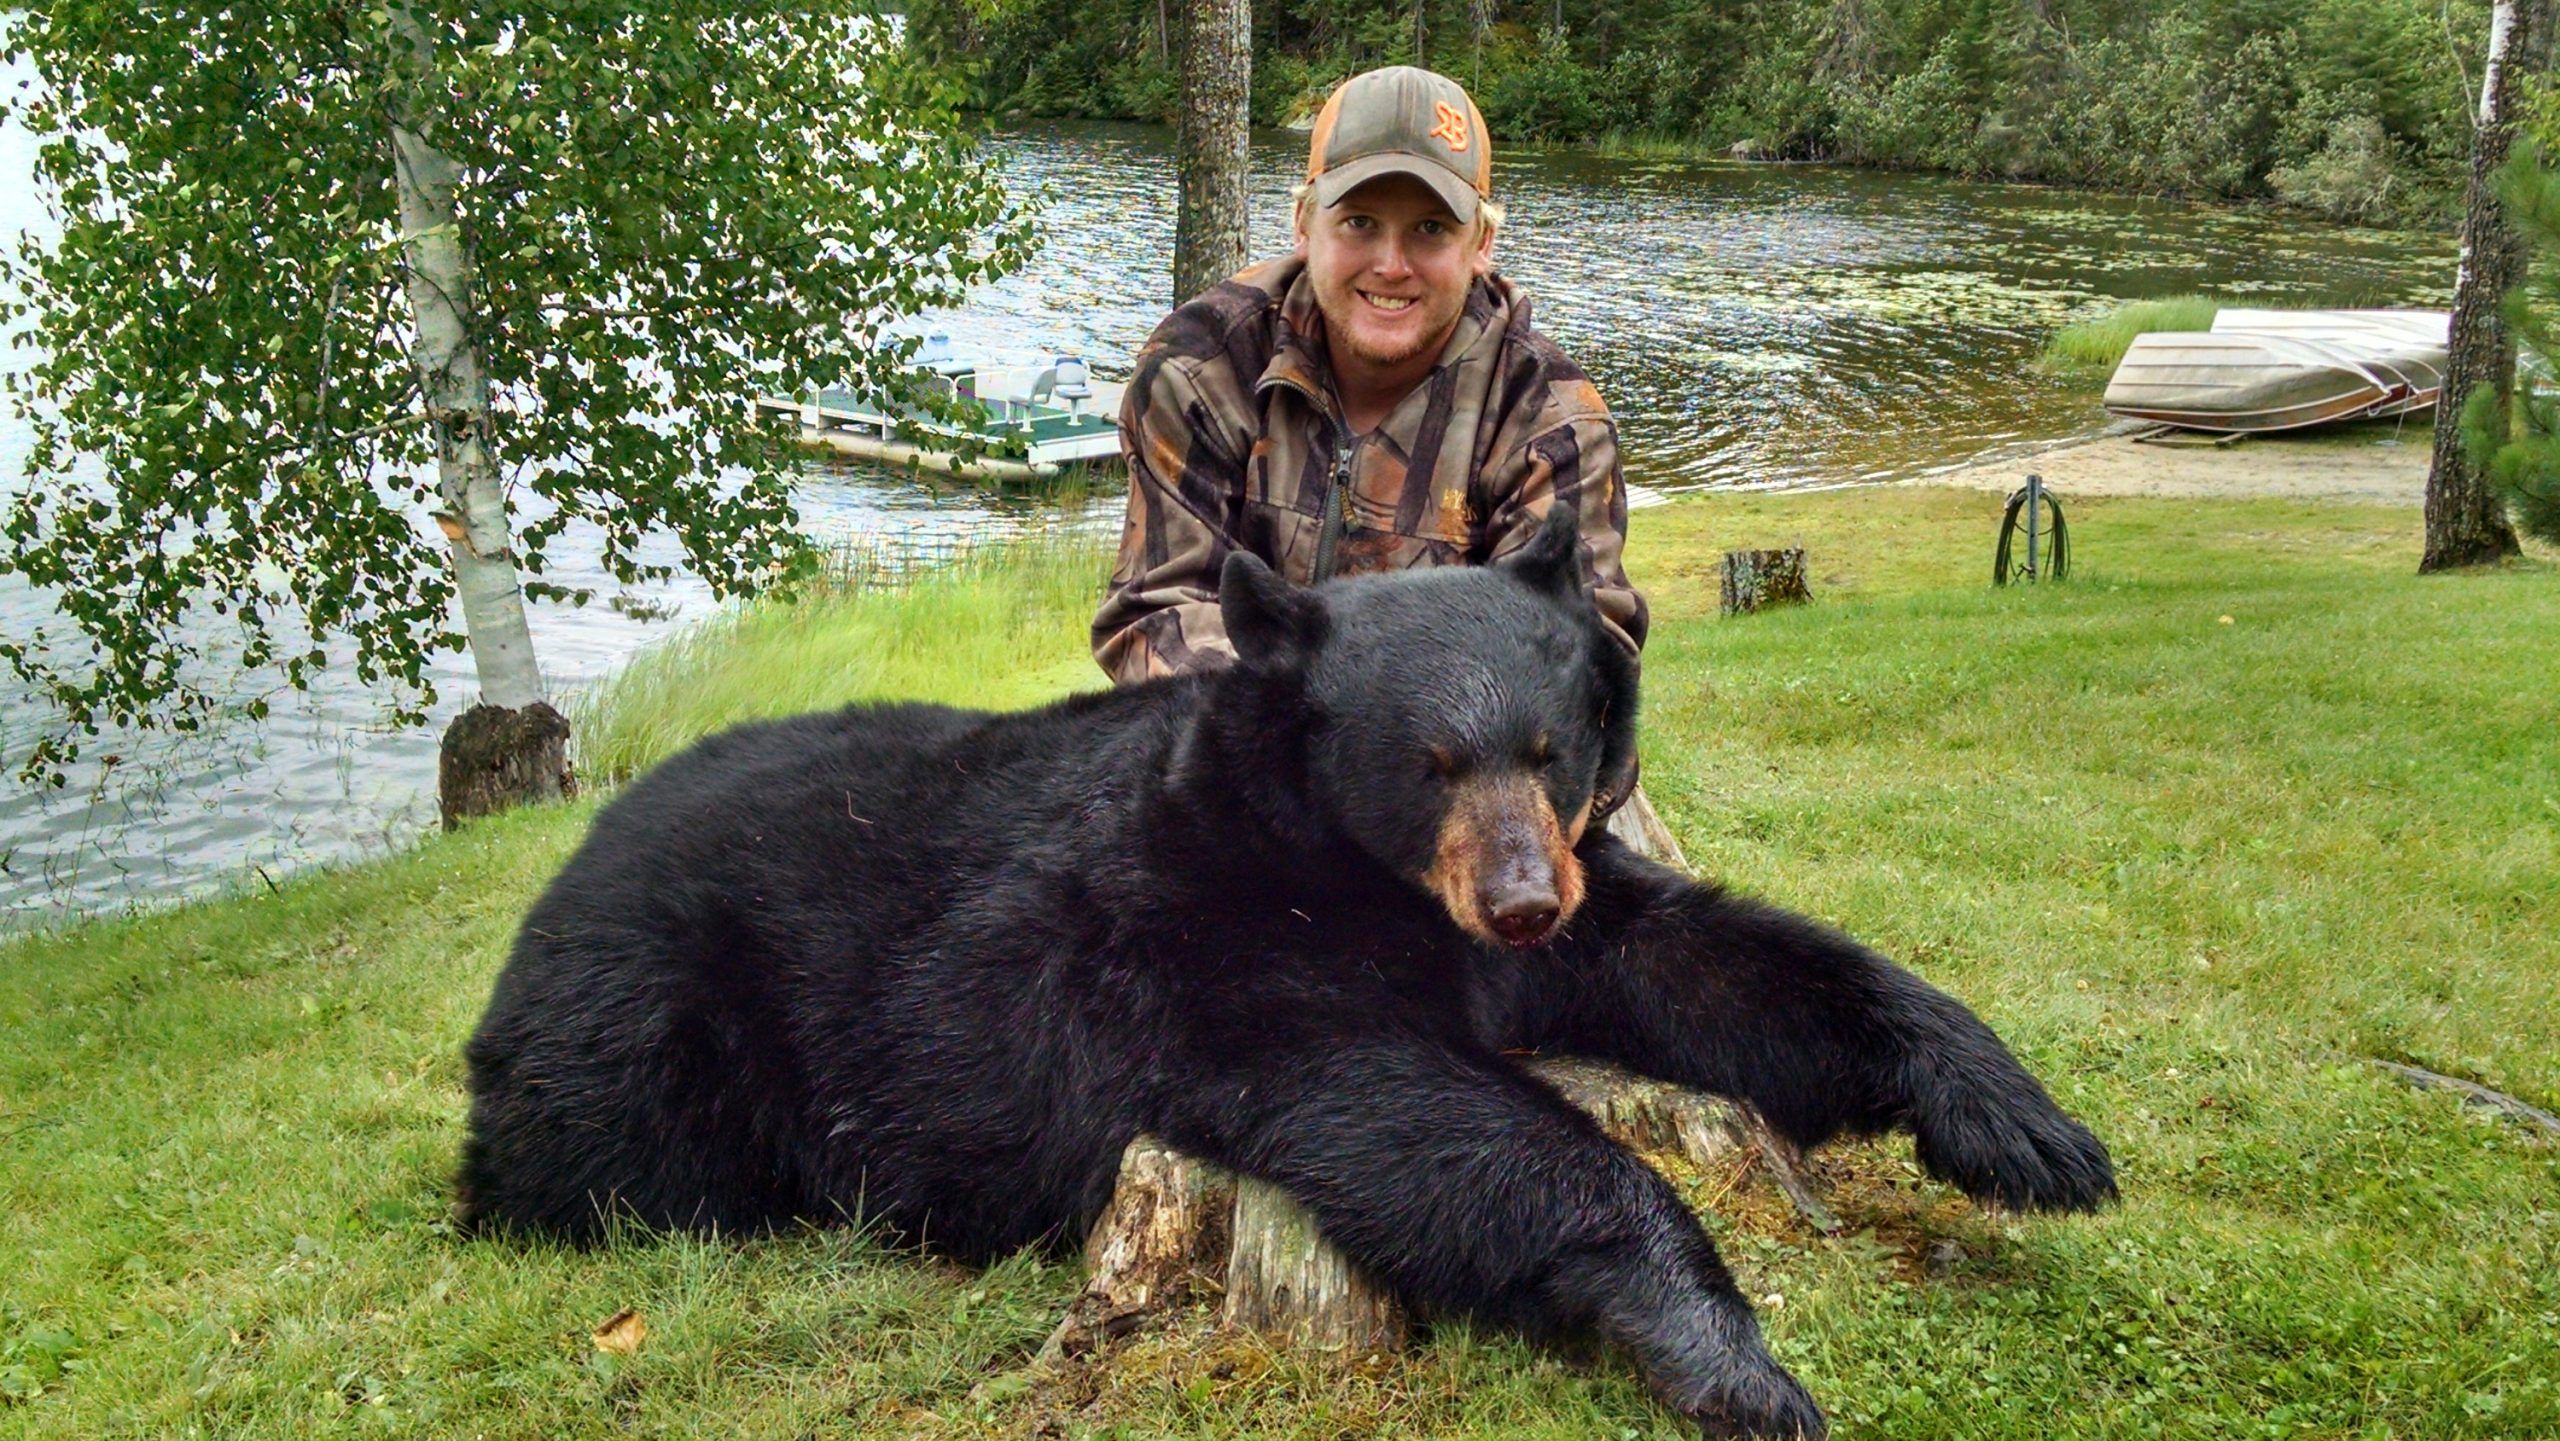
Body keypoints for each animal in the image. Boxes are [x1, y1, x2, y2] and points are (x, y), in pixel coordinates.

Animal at [457, 505, 2115, 1439]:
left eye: (1548, 745)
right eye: (1428, 760)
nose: (1518, 901)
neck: (1369, 879)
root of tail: (567, 859)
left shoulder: (1581, 915)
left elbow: (1721, 958)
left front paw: (2024, 1124)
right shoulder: (1207, 943)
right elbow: (1395, 1105)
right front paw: (1729, 1356)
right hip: (646, 1020)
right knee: (596, 1155)